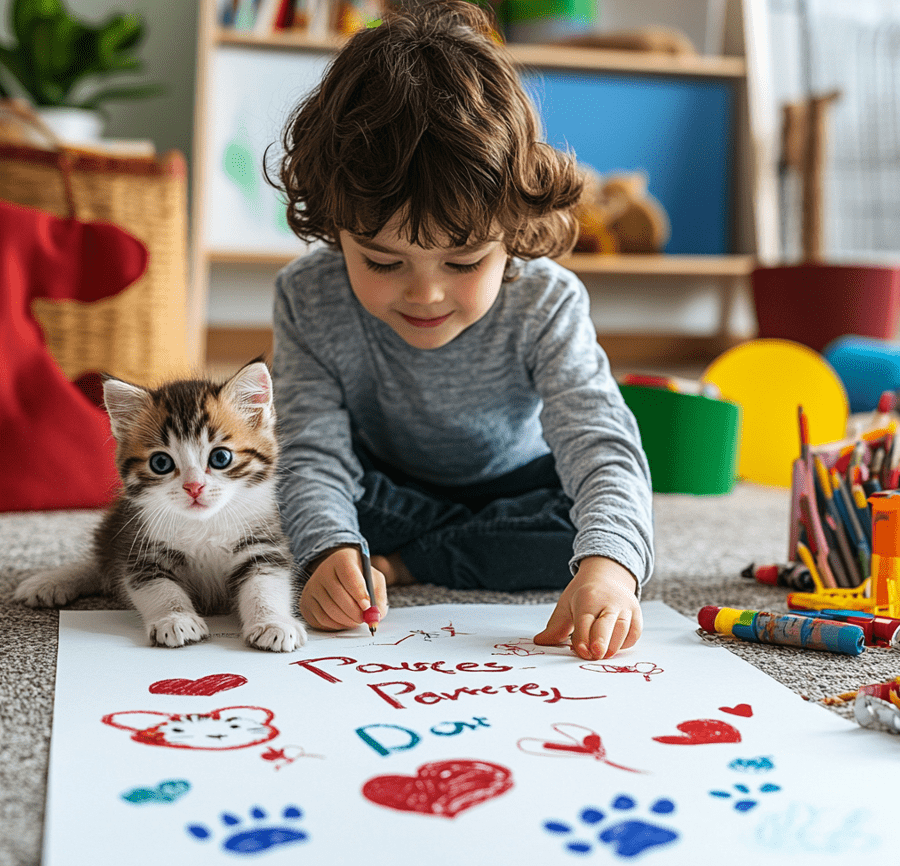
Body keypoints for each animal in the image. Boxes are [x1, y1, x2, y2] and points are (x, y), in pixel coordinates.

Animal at [14, 358, 308, 648]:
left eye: (221, 458)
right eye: (161, 463)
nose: (193, 487)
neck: (203, 524)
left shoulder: (263, 542)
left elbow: (266, 584)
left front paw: (273, 622)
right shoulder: (142, 548)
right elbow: (157, 587)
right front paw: (176, 619)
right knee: (104, 562)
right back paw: (51, 581)